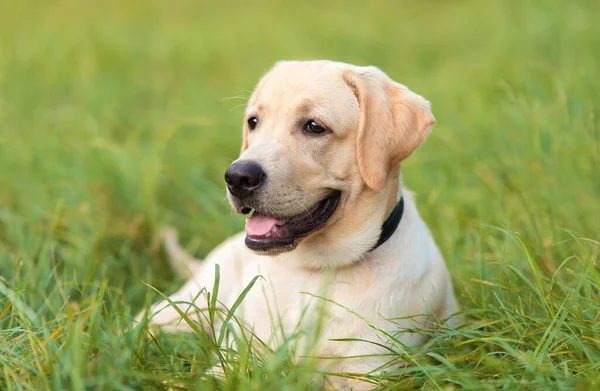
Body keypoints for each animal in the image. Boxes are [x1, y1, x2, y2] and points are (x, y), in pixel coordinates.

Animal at [137, 59, 460, 390]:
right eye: (253, 122)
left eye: (314, 126)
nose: (237, 177)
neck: (316, 271)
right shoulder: (236, 357)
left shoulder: (370, 371)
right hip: (189, 304)